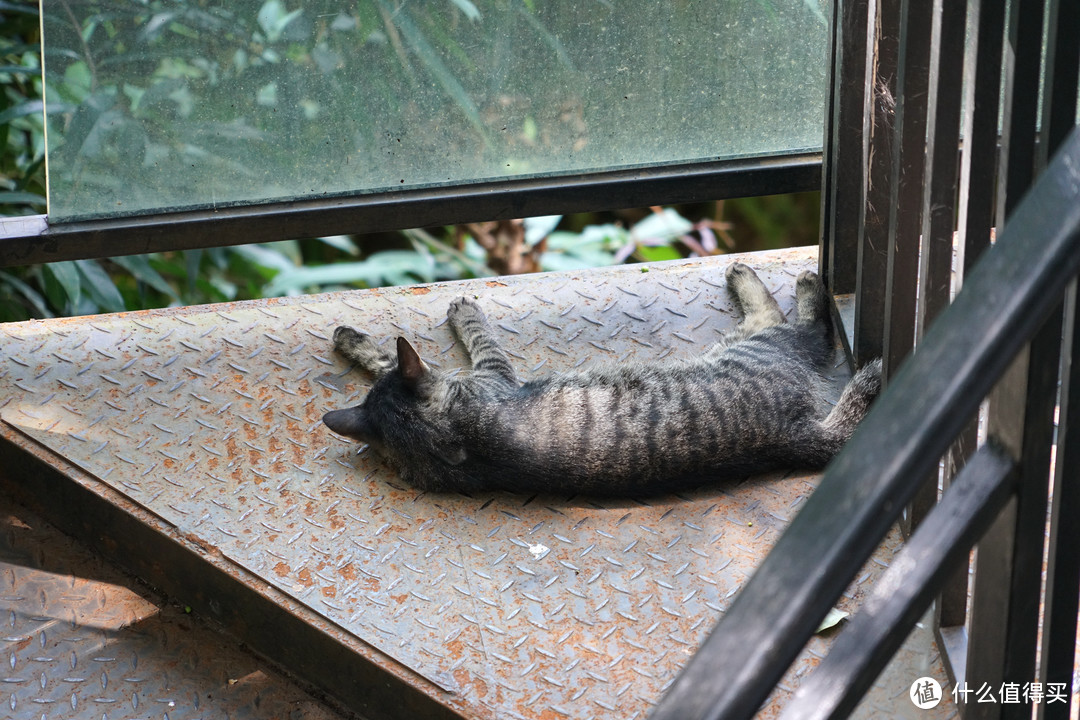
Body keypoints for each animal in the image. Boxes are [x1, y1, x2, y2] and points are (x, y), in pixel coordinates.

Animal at [319, 263, 876, 496]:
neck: (447, 438)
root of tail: (792, 435)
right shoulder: (491, 372)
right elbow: (474, 336)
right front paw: (463, 311)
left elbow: (389, 361)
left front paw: (351, 339)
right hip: (755, 341)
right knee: (802, 327)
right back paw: (786, 281)